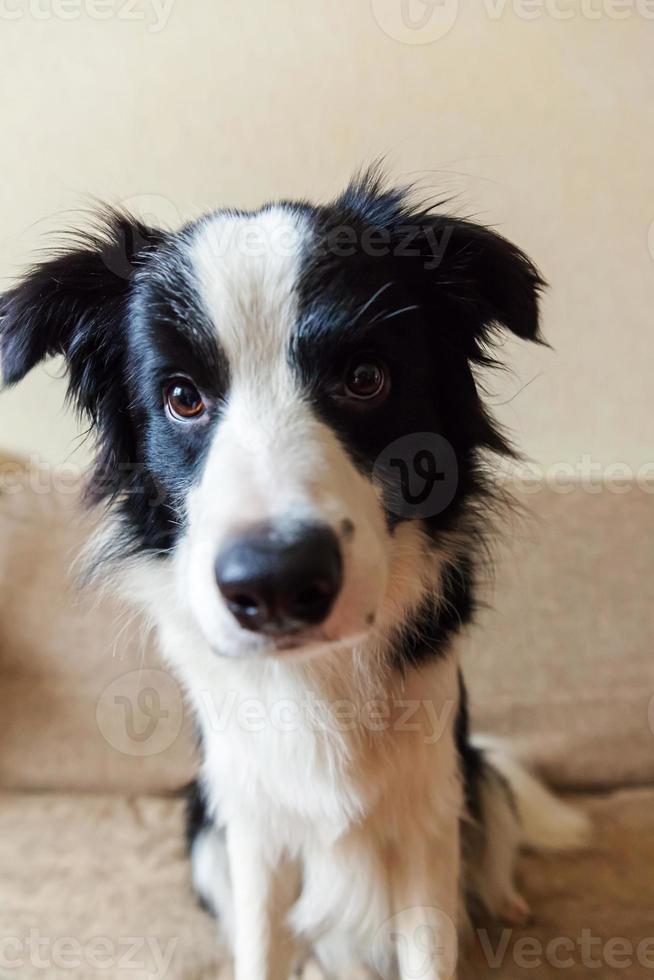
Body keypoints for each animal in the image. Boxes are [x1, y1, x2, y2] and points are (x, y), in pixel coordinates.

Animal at [0, 172, 588, 976]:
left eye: (366, 378)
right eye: (182, 397)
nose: (275, 584)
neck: (317, 674)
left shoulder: (427, 816)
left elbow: (431, 944)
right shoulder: (252, 831)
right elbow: (261, 944)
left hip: (475, 783)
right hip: (204, 829)